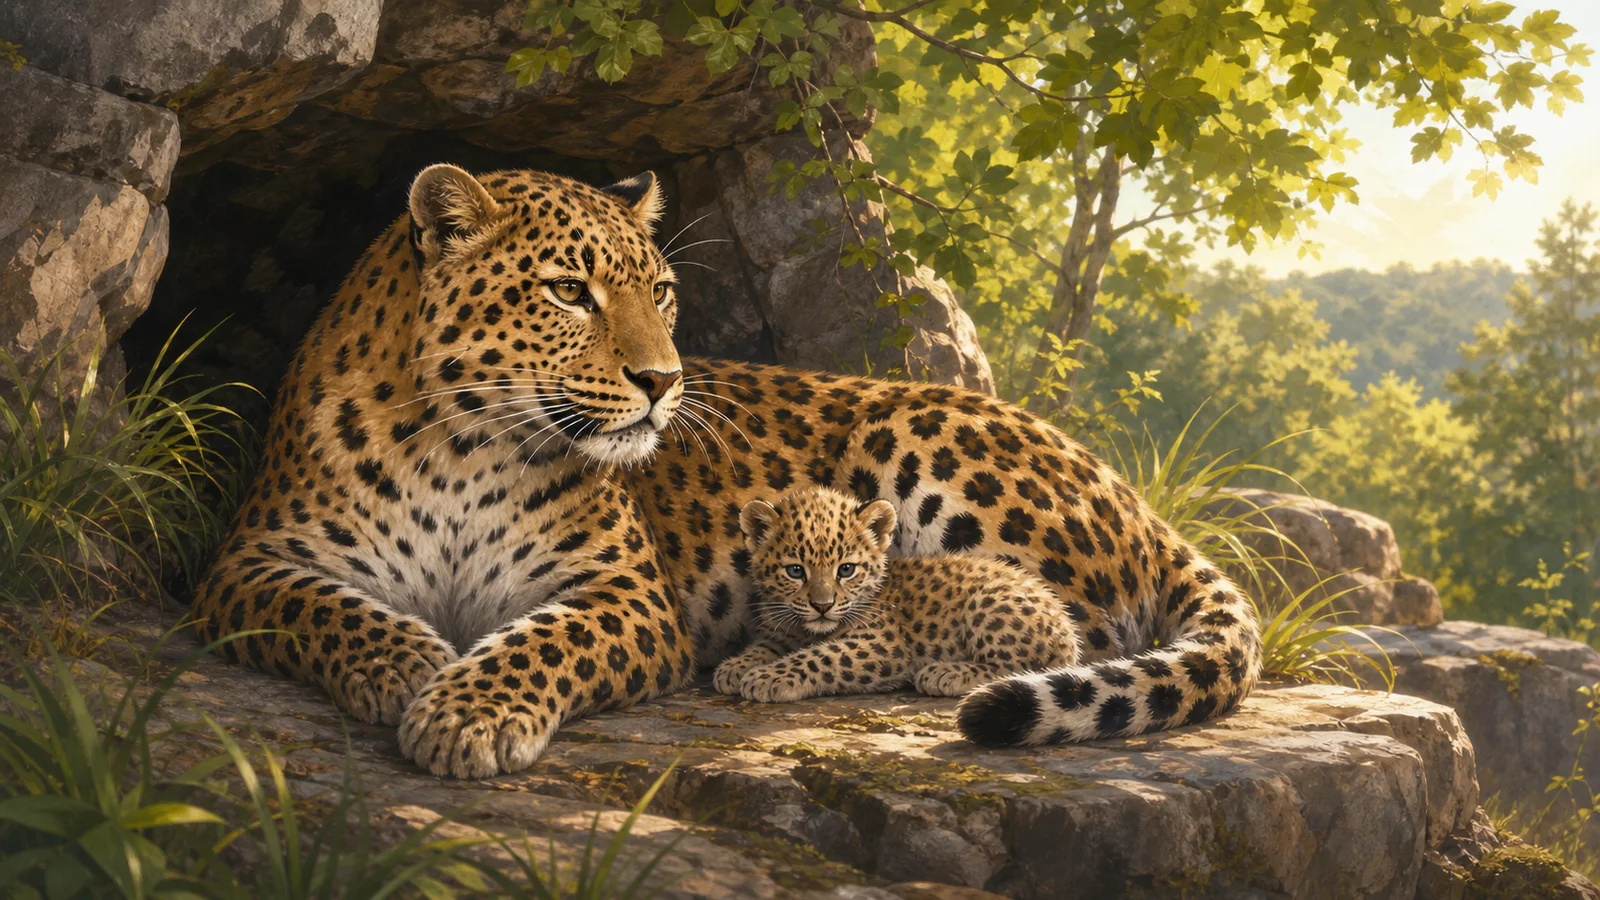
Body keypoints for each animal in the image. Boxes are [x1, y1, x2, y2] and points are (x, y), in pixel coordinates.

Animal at [711, 485, 1079, 703]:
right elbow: (766, 646)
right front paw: (735, 667)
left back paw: (944, 673)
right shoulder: (786, 631)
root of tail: (1067, 631)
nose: (822, 606)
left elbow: (821, 656)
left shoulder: (881, 644)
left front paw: (765, 676)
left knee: (1022, 667)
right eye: (795, 571)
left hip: (987, 603)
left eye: (846, 569)